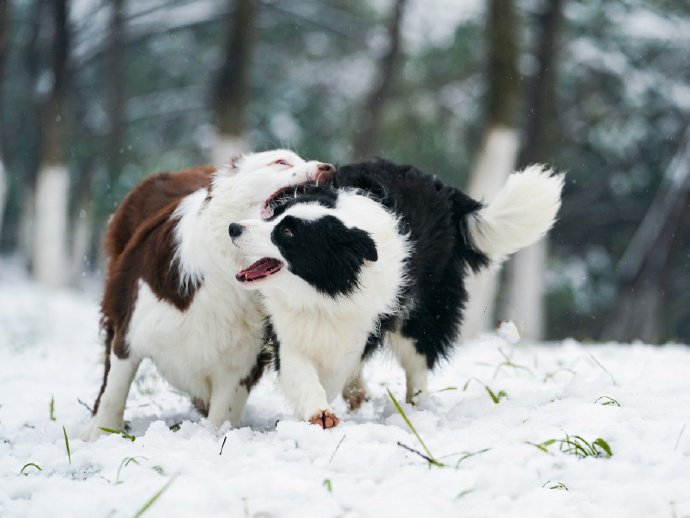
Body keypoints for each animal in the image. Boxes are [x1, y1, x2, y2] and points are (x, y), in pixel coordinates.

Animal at [80, 149, 334, 442]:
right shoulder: (131, 331)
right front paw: (99, 435)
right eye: (281, 162)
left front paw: (213, 436)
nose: (329, 169)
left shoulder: (242, 361)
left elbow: (223, 410)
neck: (229, 271)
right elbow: (115, 392)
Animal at [228, 160, 560, 428]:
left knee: (418, 357)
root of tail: (444, 190)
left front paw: (322, 410)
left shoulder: (360, 322)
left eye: (288, 233)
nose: (234, 228)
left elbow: (334, 370)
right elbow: (300, 370)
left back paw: (416, 408)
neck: (324, 290)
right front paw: (317, 411)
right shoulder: (288, 328)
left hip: (425, 309)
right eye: (274, 215)